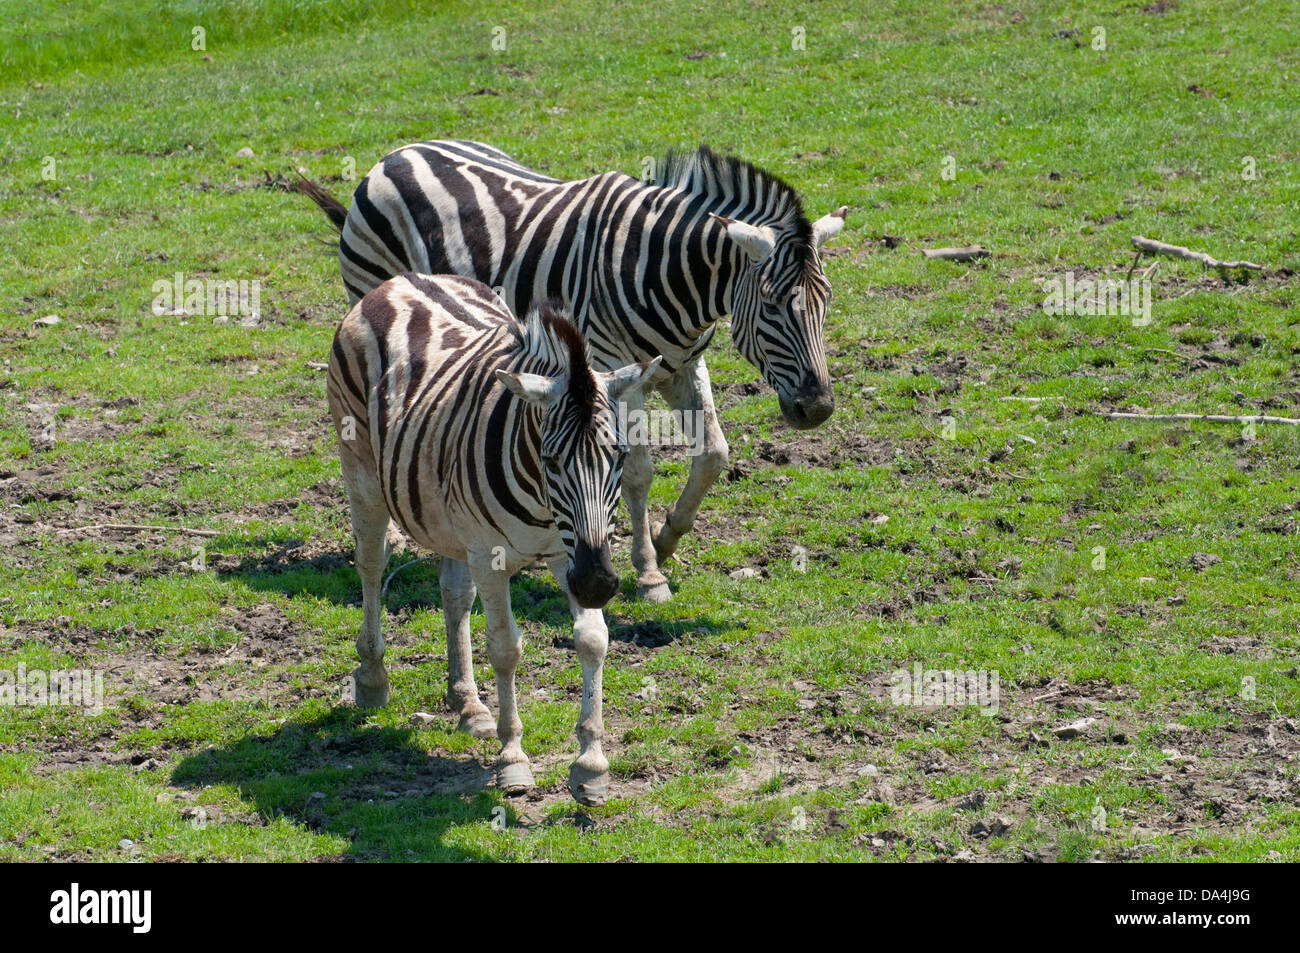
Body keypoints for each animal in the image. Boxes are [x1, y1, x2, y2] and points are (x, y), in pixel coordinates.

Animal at [297, 140, 847, 603]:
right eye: (773, 306)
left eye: (827, 302)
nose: (817, 408)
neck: (669, 274)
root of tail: (394, 155)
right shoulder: (611, 370)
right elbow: (638, 471)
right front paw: (649, 571)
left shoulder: (684, 365)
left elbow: (713, 454)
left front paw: (668, 536)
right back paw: (390, 532)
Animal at [327, 271, 660, 804]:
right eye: (551, 460)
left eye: (620, 456)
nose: (597, 585)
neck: (545, 509)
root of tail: (403, 279)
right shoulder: (493, 555)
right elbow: (505, 648)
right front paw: (512, 758)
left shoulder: (567, 554)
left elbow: (593, 640)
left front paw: (590, 765)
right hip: (361, 473)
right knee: (372, 565)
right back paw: (373, 676)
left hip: (449, 520)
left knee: (454, 593)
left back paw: (468, 704)